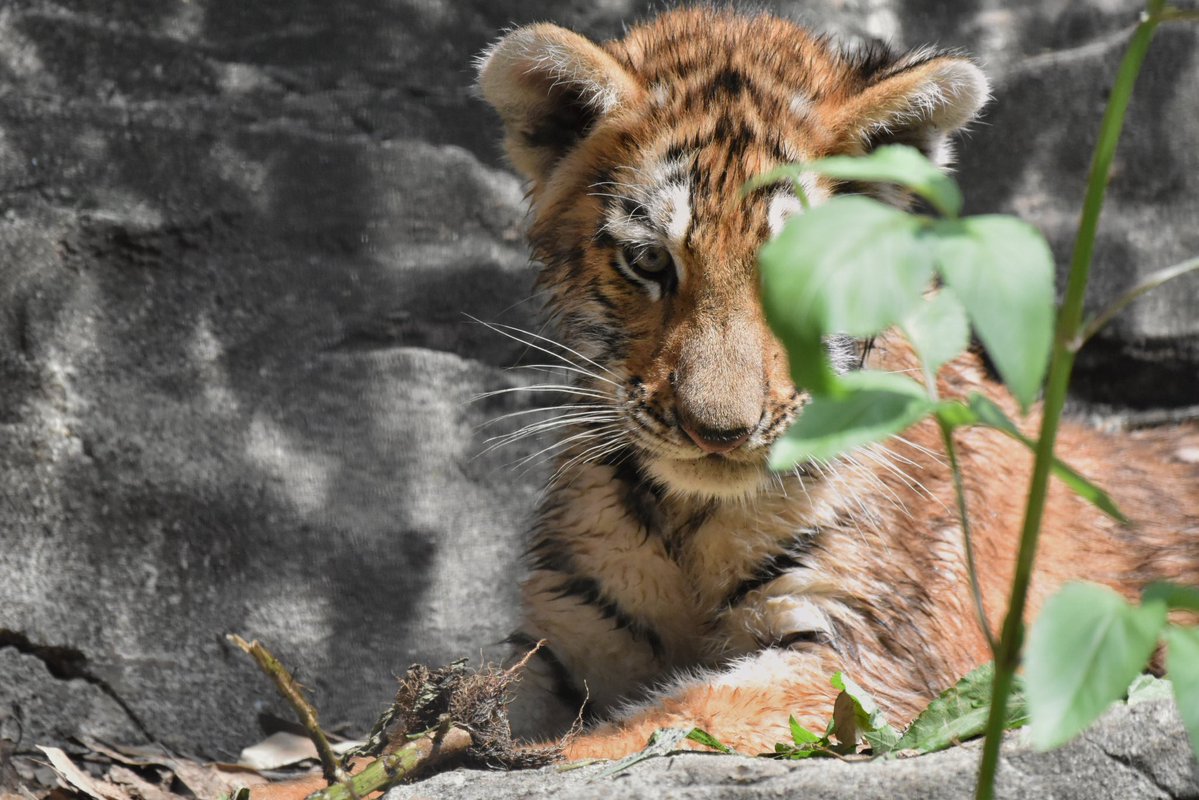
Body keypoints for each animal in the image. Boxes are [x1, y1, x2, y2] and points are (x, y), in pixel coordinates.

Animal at [475, 7, 1199, 759]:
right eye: (648, 261)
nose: (717, 433)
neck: (690, 521)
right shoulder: (562, 637)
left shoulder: (861, 658)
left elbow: (662, 719)